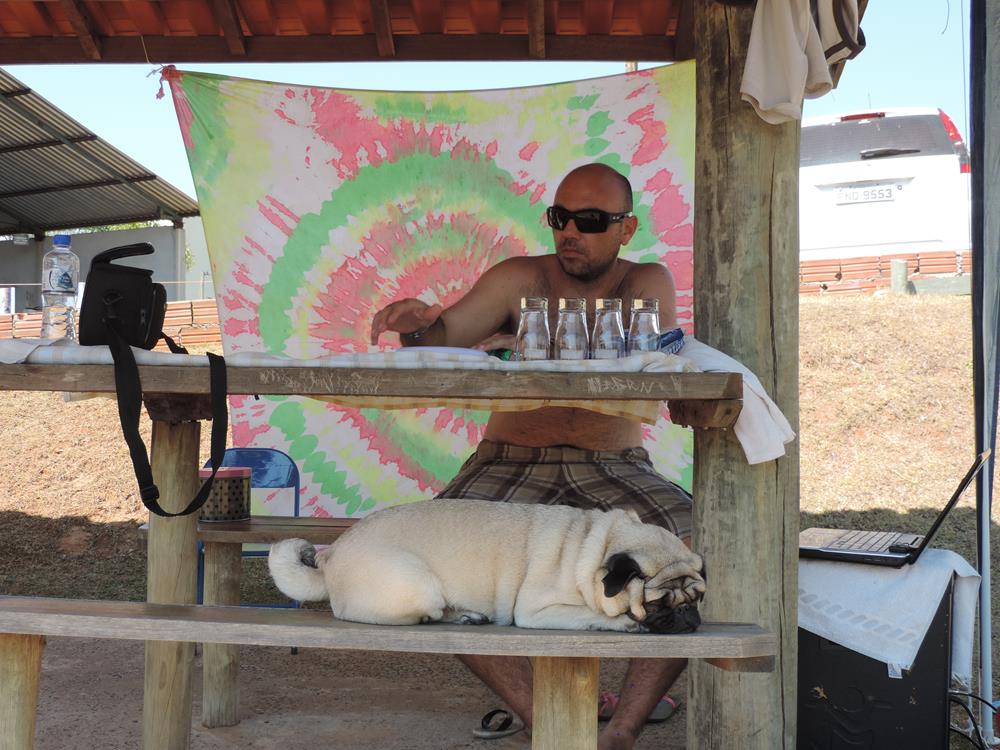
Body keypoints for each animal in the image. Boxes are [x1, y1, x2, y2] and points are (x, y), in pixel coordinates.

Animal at [268, 498, 706, 634]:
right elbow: (592, 616)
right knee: (425, 615)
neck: (597, 545)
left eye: (698, 598)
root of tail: (330, 556)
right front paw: (622, 623)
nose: (689, 616)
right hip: (418, 584)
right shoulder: (537, 612)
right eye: (657, 603)